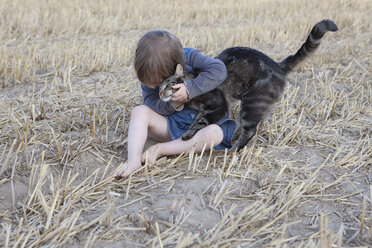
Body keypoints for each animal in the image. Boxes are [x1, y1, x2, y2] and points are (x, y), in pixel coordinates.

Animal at [158, 18, 338, 151]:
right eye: (160, 87)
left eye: (169, 85)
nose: (160, 93)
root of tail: (278, 65)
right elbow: (197, 119)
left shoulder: (219, 106)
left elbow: (201, 123)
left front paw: (187, 134)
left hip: (252, 103)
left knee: (251, 129)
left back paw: (234, 149)